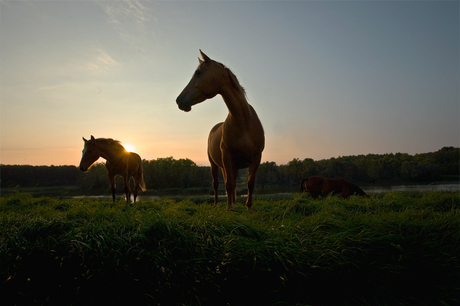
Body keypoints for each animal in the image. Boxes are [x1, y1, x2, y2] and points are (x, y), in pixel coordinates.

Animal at [176, 50, 264, 213]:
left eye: (198, 72)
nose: (179, 100)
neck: (243, 122)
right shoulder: (227, 157)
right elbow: (228, 185)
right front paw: (229, 209)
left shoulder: (256, 158)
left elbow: (249, 184)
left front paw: (248, 208)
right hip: (215, 165)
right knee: (217, 184)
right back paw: (218, 204)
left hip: (233, 166)